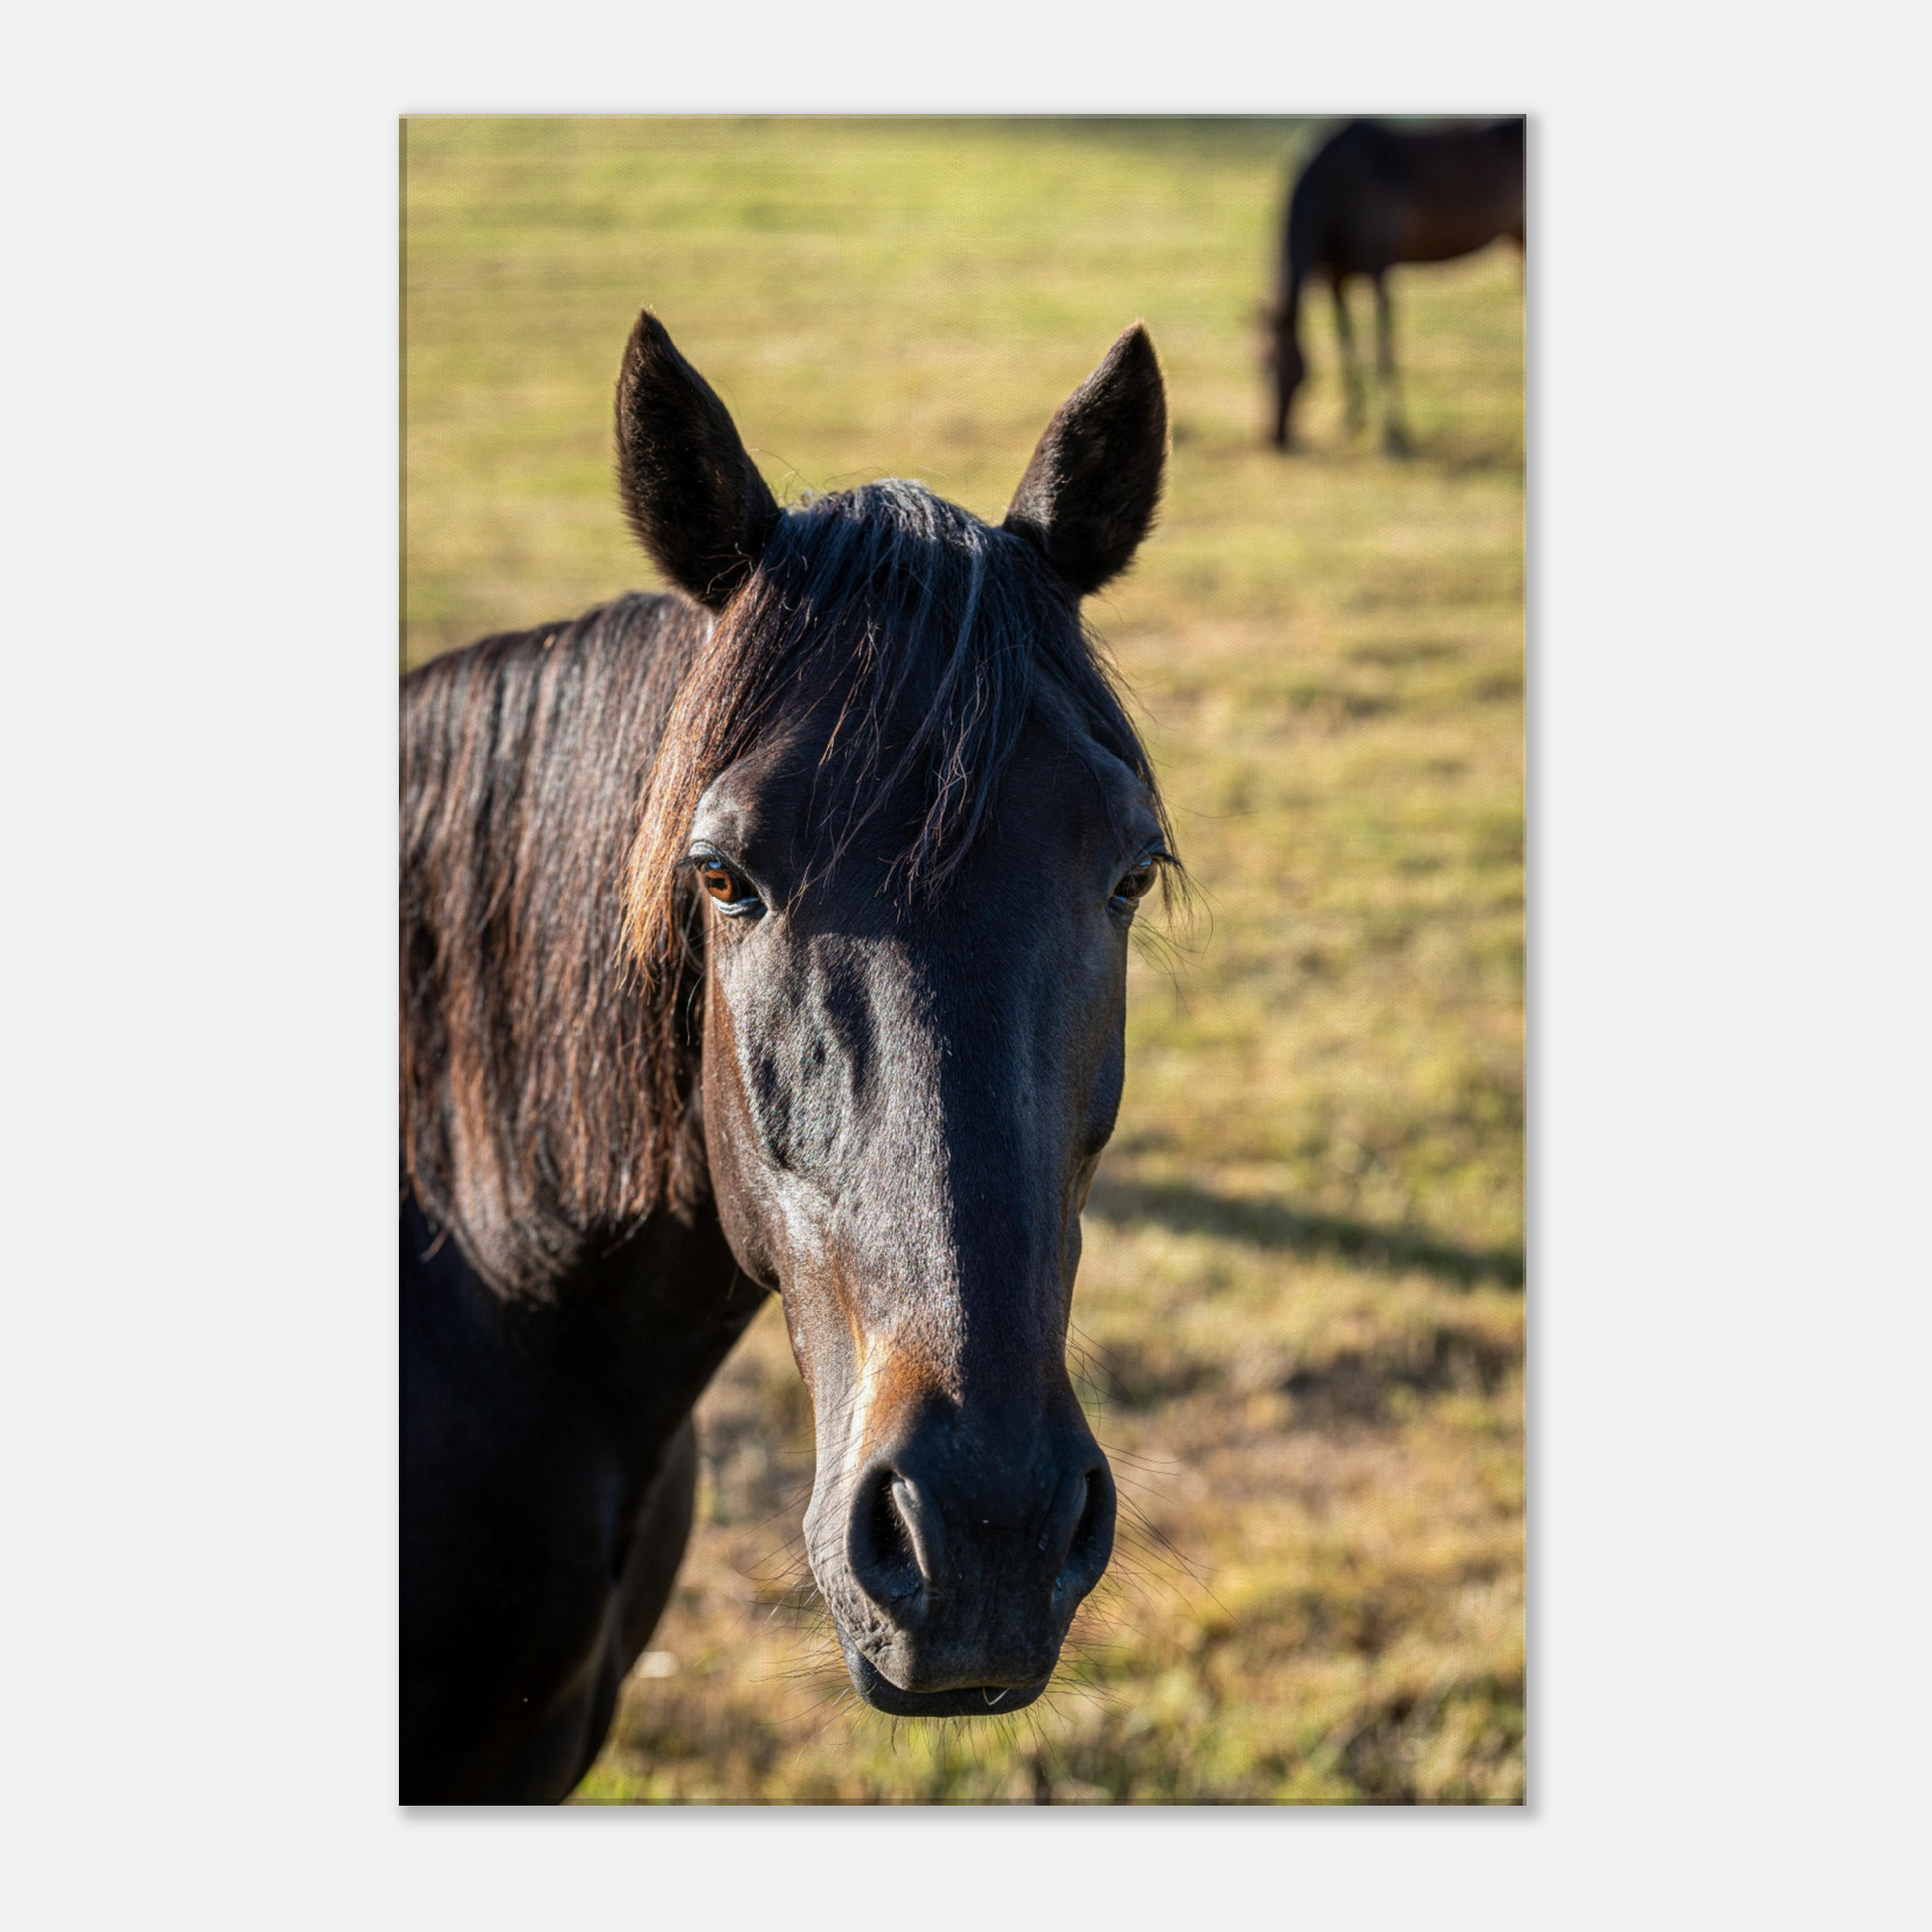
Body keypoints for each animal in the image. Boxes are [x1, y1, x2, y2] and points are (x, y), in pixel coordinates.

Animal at [1267, 114, 1522, 454]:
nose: (1274, 438)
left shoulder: (1379, 271)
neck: (1336, 183)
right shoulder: (1335, 277)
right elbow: (1346, 340)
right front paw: (1353, 420)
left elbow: (1384, 346)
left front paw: (1394, 435)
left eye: (1293, 371)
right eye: (1260, 363)